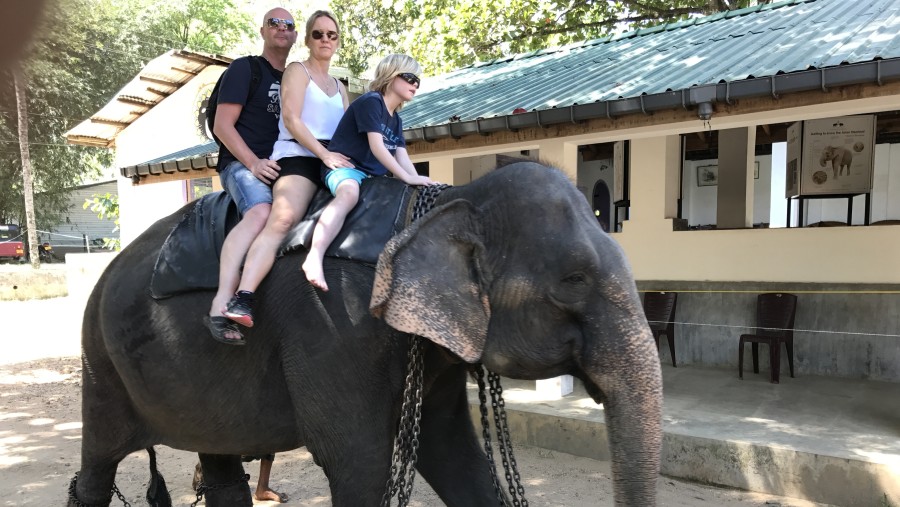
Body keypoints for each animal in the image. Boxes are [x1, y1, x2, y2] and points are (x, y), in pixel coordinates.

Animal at [68, 163, 660, 507]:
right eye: (574, 280)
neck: (444, 201)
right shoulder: (332, 322)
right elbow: (358, 462)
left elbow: (452, 451)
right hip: (99, 359)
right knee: (97, 465)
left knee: (219, 464)